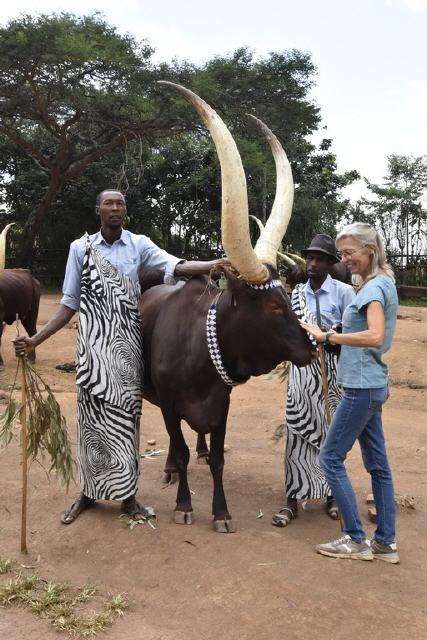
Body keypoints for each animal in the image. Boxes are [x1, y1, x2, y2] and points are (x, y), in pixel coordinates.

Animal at [140, 84, 314, 536]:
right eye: (272, 306)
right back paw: (169, 467)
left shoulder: (222, 405)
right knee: (176, 444)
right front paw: (185, 505)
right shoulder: (169, 403)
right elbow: (179, 448)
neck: (201, 351)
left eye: (288, 297)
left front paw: (221, 511)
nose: (312, 348)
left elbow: (217, 457)